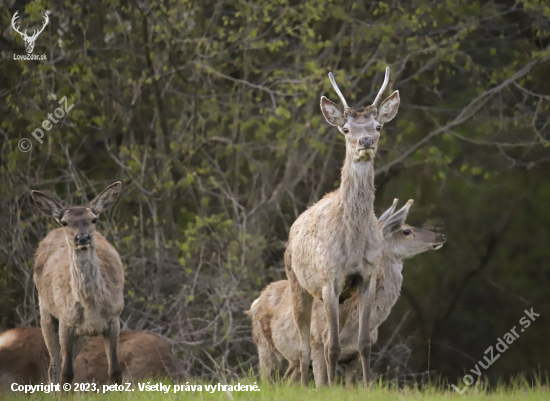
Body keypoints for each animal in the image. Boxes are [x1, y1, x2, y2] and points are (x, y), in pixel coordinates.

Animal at [31, 182, 125, 384]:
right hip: (46, 309)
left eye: (94, 219)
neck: (92, 304)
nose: (82, 238)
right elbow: (66, 373)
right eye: (65, 222)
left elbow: (115, 371)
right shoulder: (66, 321)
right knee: (54, 366)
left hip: (82, 333)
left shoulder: (114, 318)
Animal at [251, 198, 448, 386]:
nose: (441, 235)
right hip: (265, 347)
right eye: (406, 230)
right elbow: (321, 384)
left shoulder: (353, 356)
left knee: (286, 381)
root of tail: (255, 303)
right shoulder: (317, 342)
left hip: (291, 361)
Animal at [288, 66, 402, 384]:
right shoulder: (330, 278)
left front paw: (366, 385)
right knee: (304, 346)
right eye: (346, 129)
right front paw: (327, 387)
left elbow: (362, 343)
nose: (366, 142)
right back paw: (307, 386)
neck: (352, 245)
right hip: (298, 283)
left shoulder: (367, 277)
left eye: (378, 127)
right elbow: (334, 346)